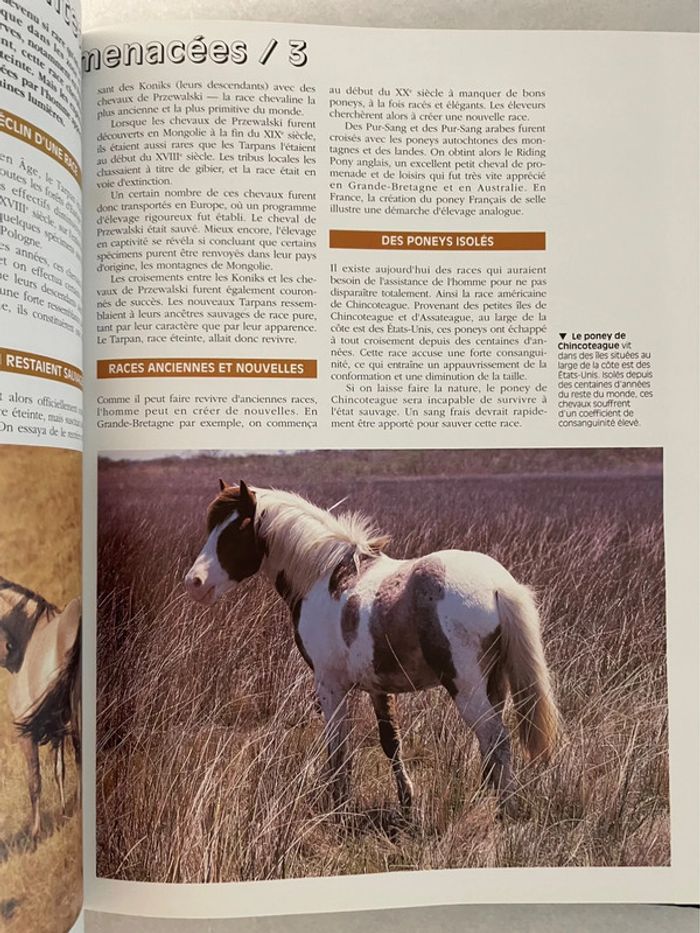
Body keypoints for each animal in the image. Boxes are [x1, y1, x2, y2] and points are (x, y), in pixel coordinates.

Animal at [0, 577, 81, 847]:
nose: (8, 650)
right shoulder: (57, 724)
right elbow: (59, 770)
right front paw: (66, 813)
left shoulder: (27, 731)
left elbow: (34, 781)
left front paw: (36, 833)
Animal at [184, 481, 558, 818]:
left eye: (235, 531)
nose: (194, 583)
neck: (324, 577)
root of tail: (499, 586)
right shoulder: (378, 687)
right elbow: (390, 742)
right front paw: (406, 804)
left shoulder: (330, 687)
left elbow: (338, 749)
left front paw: (339, 807)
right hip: (495, 685)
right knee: (489, 746)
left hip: (467, 690)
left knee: (497, 741)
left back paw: (505, 812)